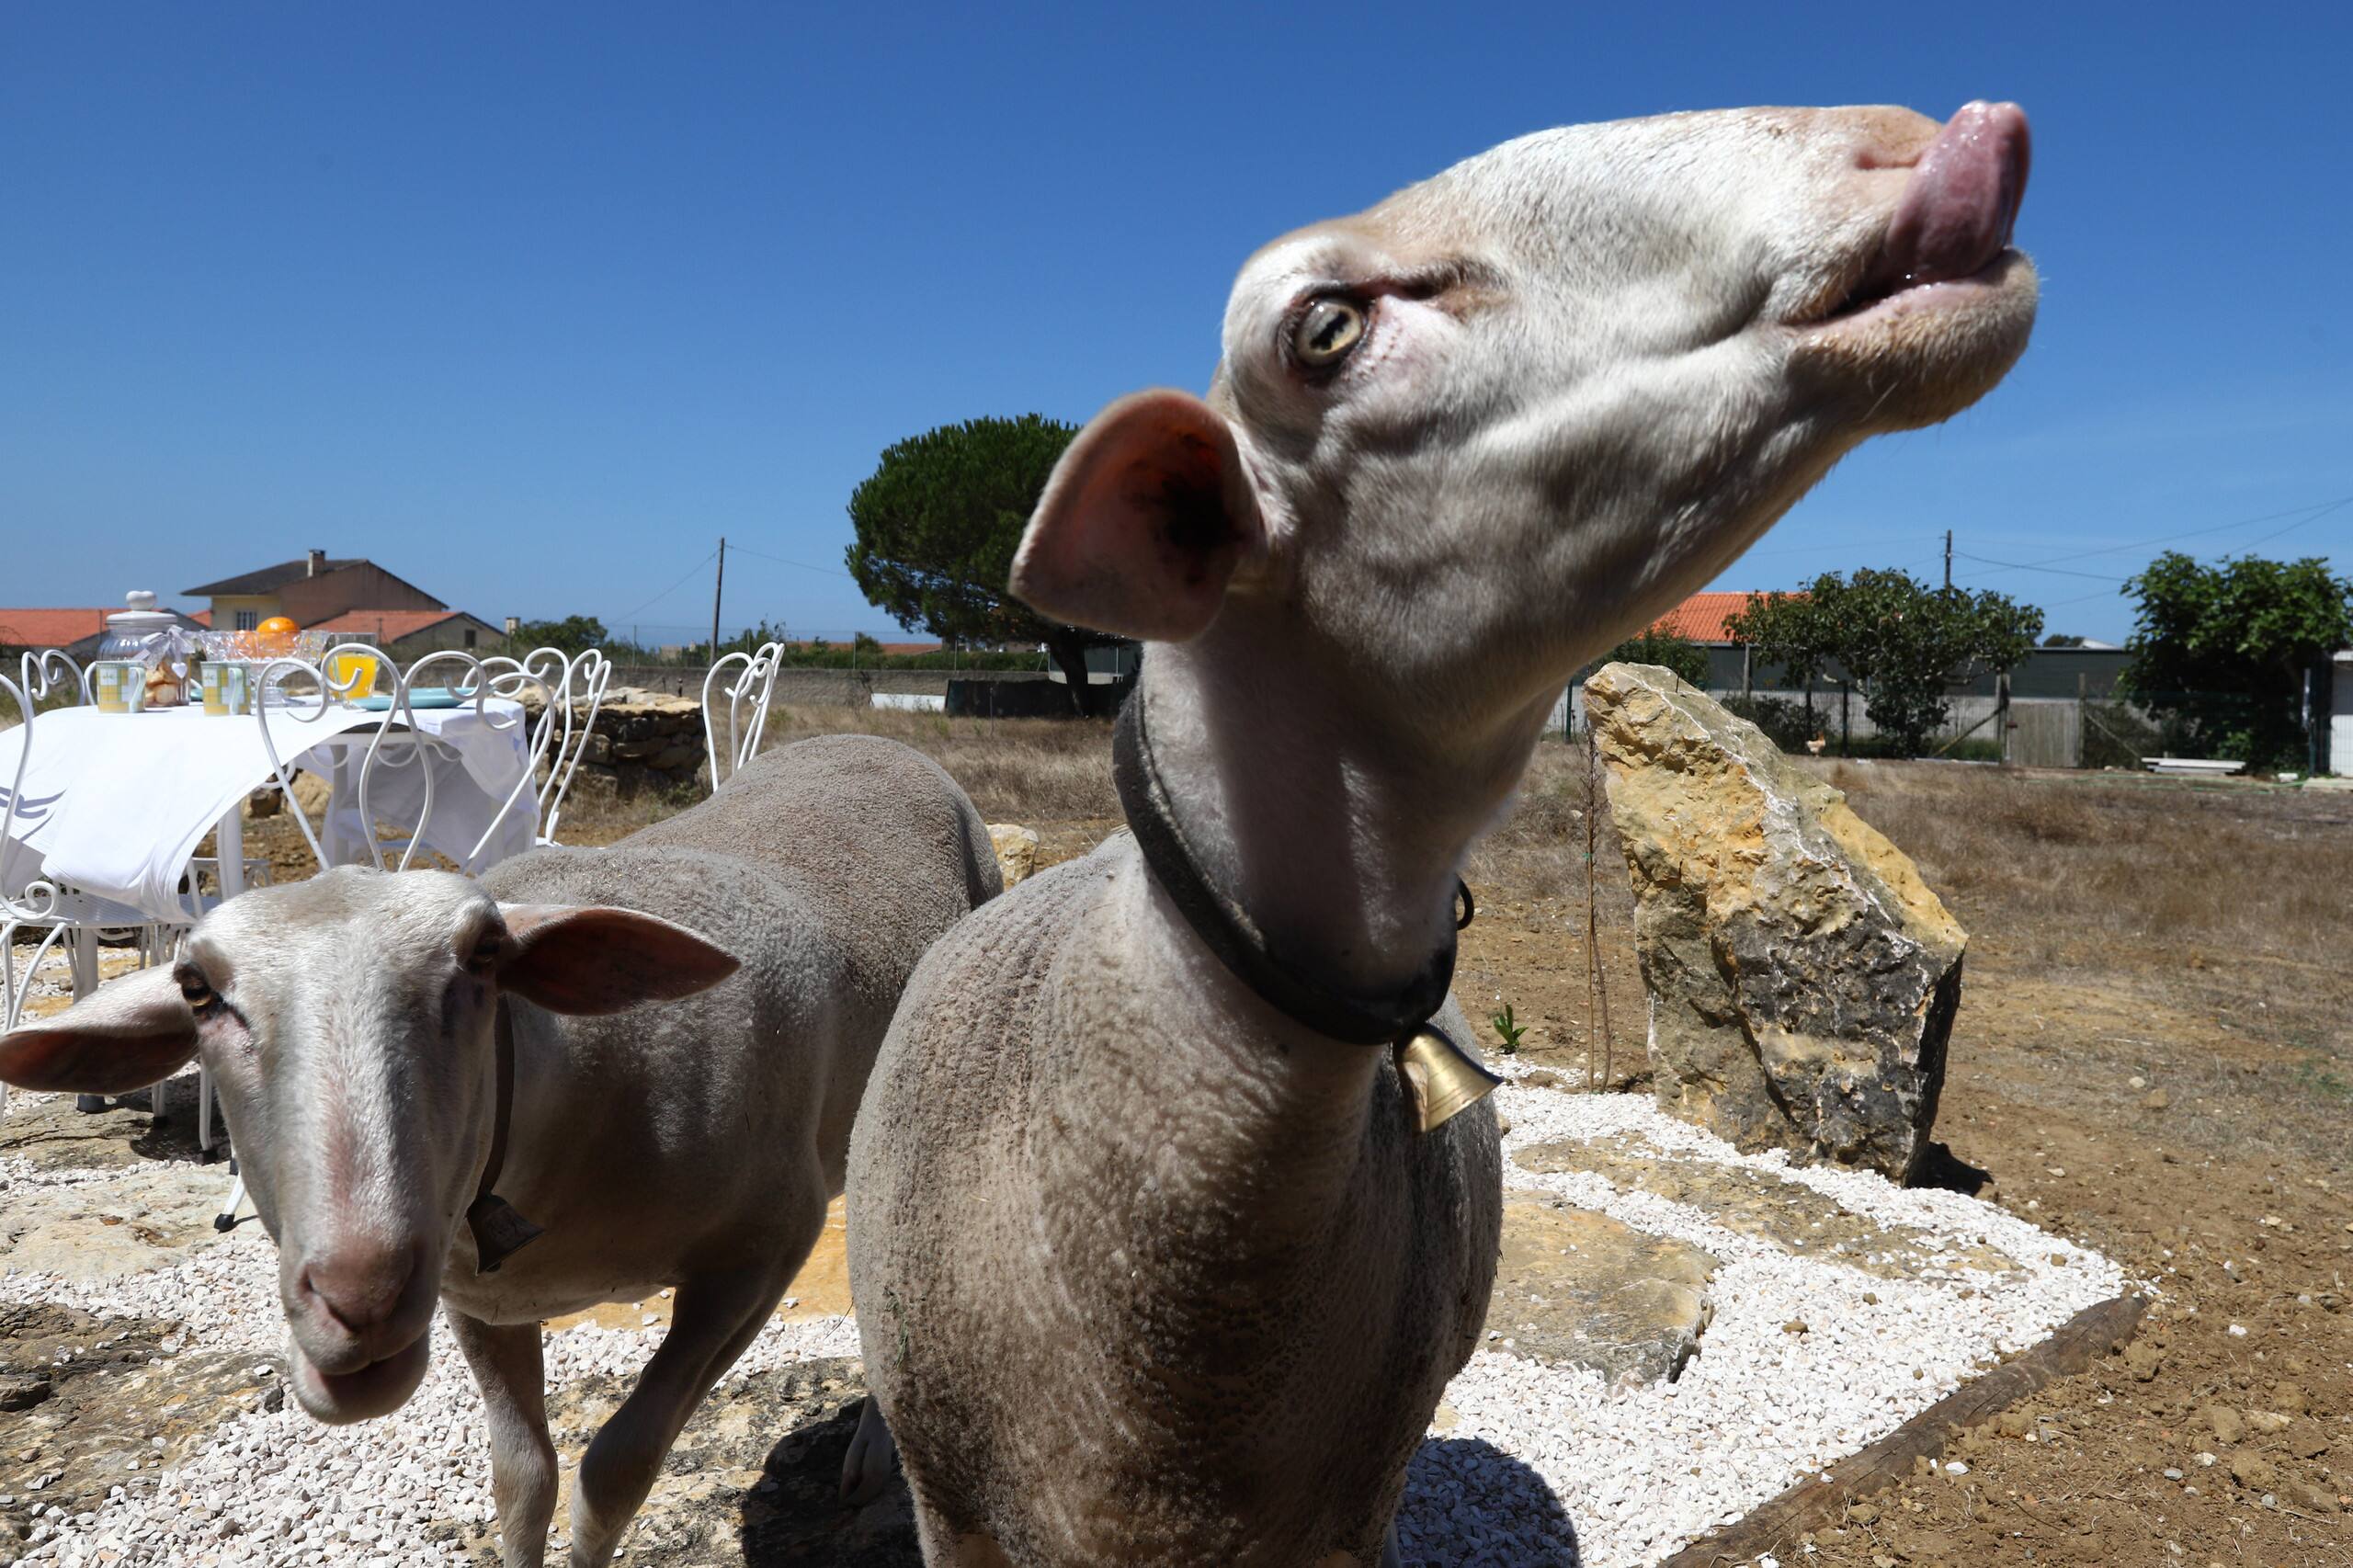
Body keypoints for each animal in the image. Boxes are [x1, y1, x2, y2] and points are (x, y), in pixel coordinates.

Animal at [0, 732, 1000, 1567]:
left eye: (484, 956)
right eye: (197, 989)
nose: (358, 1296)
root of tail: (879, 739)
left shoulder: (760, 1249)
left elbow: (615, 1467)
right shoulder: (479, 1293)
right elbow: (523, 1479)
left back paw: (877, 1447)